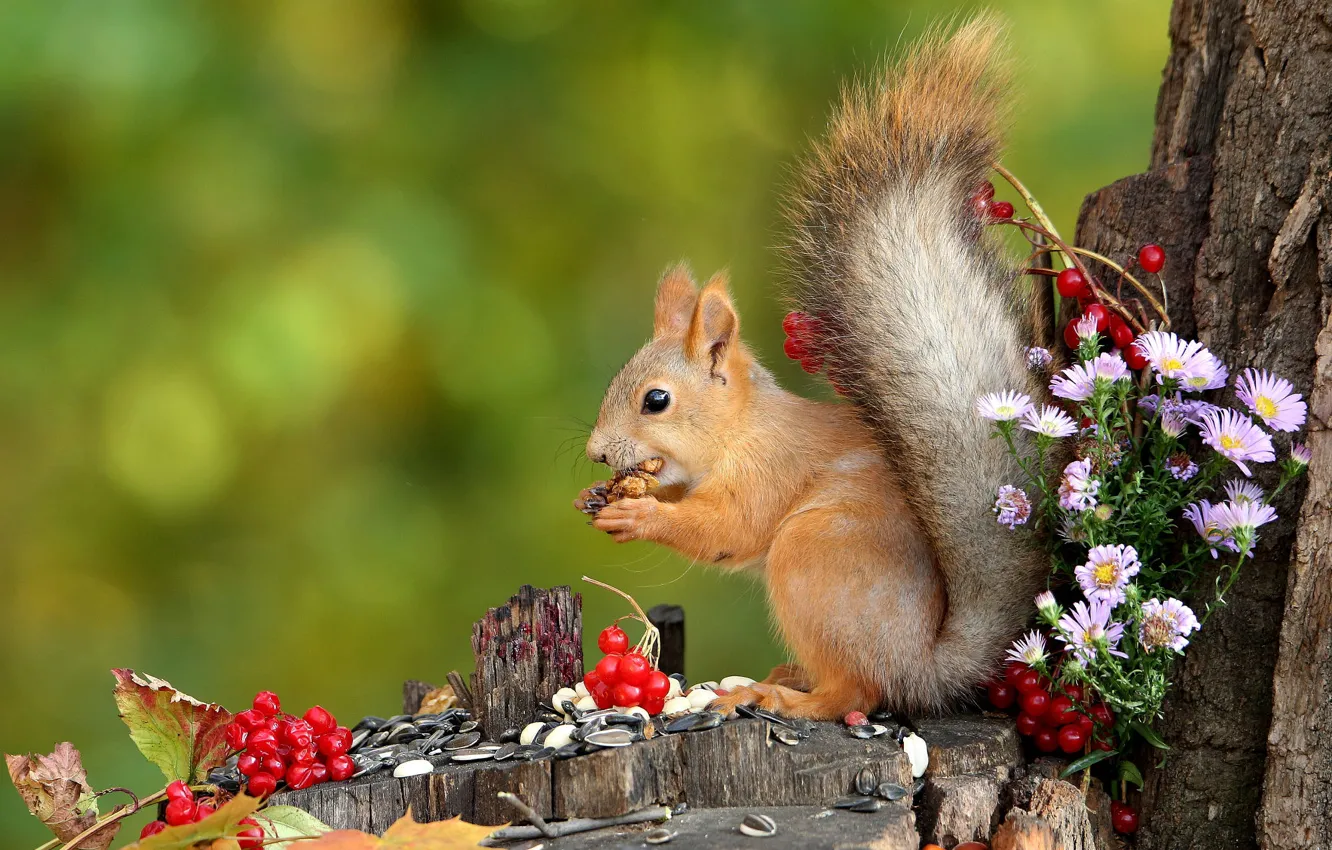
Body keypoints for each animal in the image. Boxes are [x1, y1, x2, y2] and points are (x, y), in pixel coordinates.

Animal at [575, 16, 1049, 719]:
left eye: (655, 400)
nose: (597, 454)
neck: (739, 430)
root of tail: (921, 665)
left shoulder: (767, 470)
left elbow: (727, 526)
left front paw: (641, 516)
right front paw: (602, 497)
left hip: (813, 555)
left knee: (854, 689)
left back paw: (781, 697)